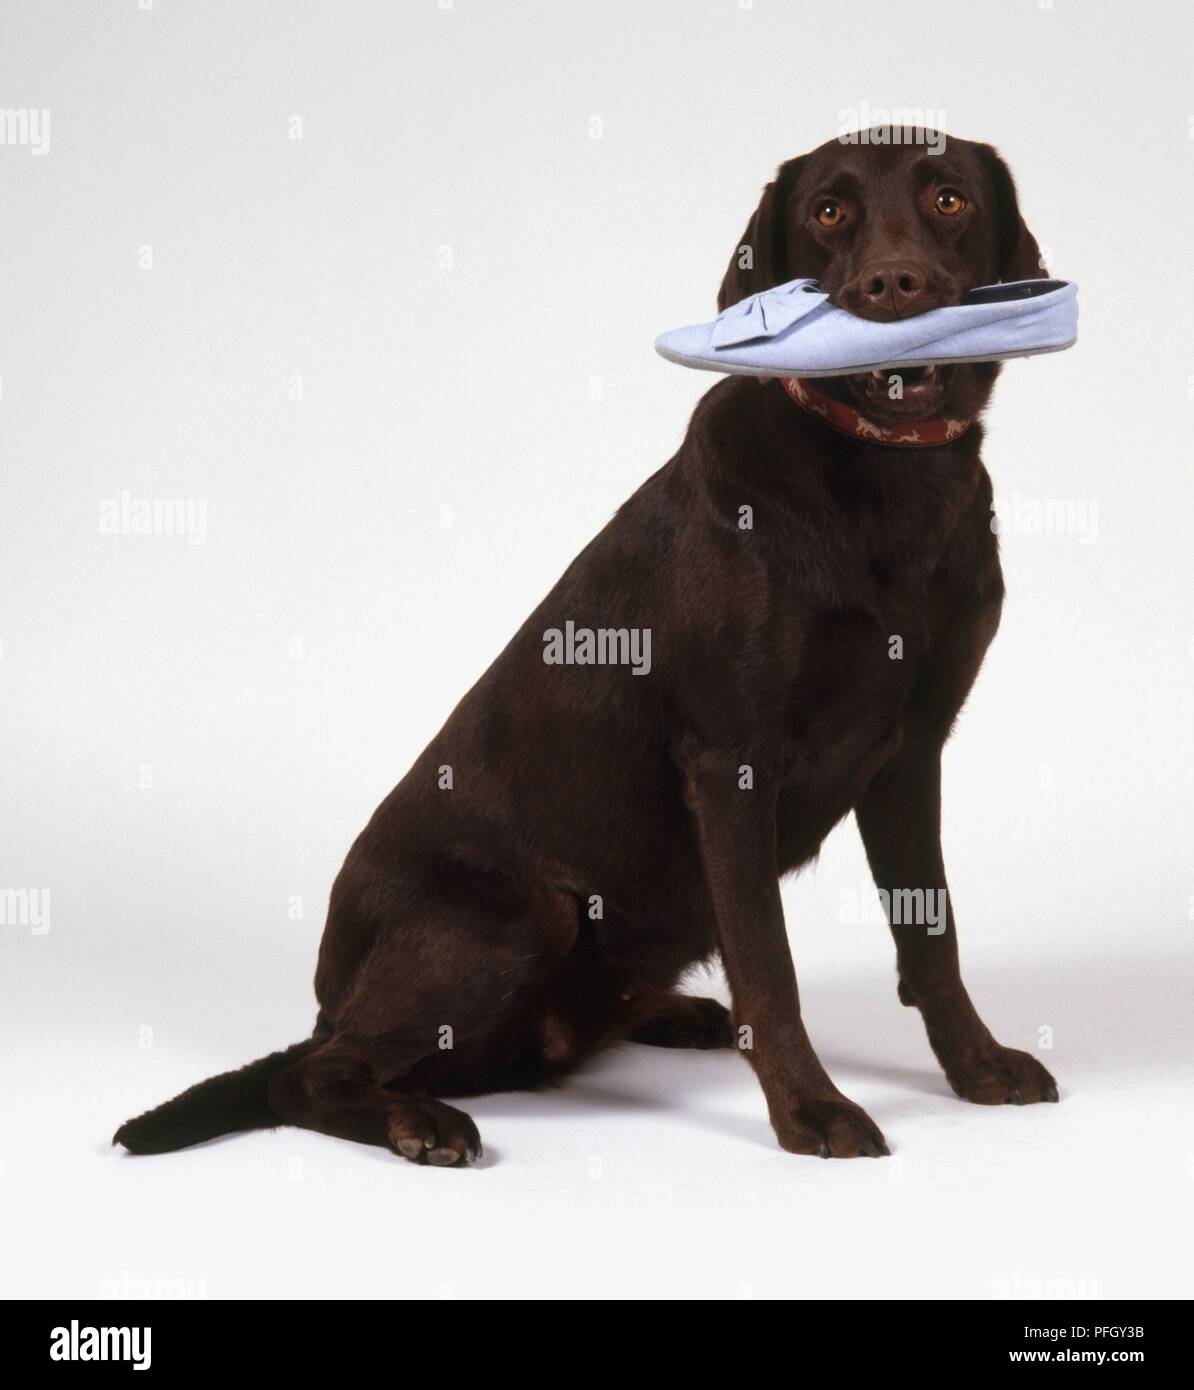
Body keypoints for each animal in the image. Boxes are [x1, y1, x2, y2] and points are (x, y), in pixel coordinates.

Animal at [116, 135, 1061, 1167]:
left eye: (949, 199)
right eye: (828, 212)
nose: (896, 284)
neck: (887, 482)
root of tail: (328, 1002)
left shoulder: (910, 754)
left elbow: (933, 938)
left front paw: (977, 1064)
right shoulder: (731, 762)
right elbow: (769, 964)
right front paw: (810, 1109)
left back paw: (674, 1015)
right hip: (528, 913)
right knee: (308, 1078)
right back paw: (417, 1121)